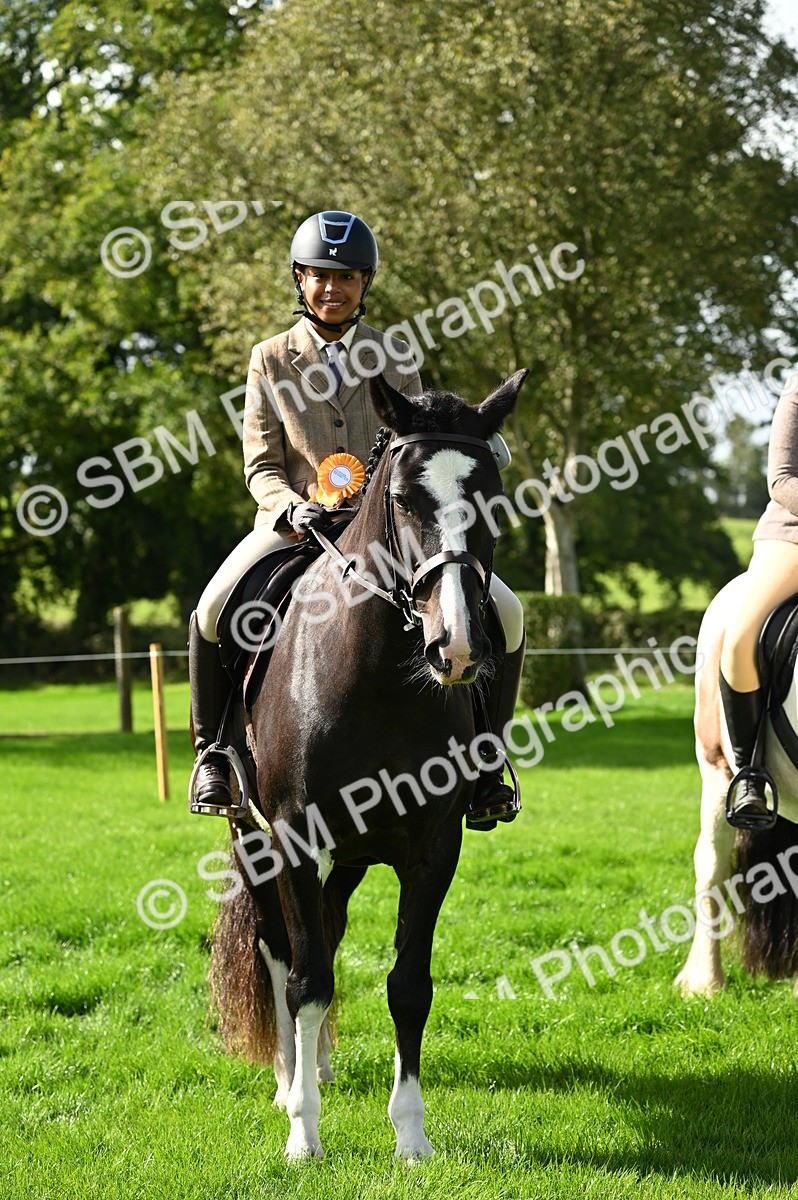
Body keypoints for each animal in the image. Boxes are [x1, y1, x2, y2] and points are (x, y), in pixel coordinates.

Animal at [210, 369, 528, 1159]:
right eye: (405, 498)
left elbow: (408, 985)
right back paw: (289, 1078)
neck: (379, 677)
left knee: (325, 930)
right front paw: (303, 1134)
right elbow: (306, 982)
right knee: (283, 950)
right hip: (251, 837)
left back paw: (317, 1065)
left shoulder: (434, 847)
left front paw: (411, 1137)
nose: (458, 646)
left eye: (492, 497)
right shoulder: (293, 841)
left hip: (350, 855)